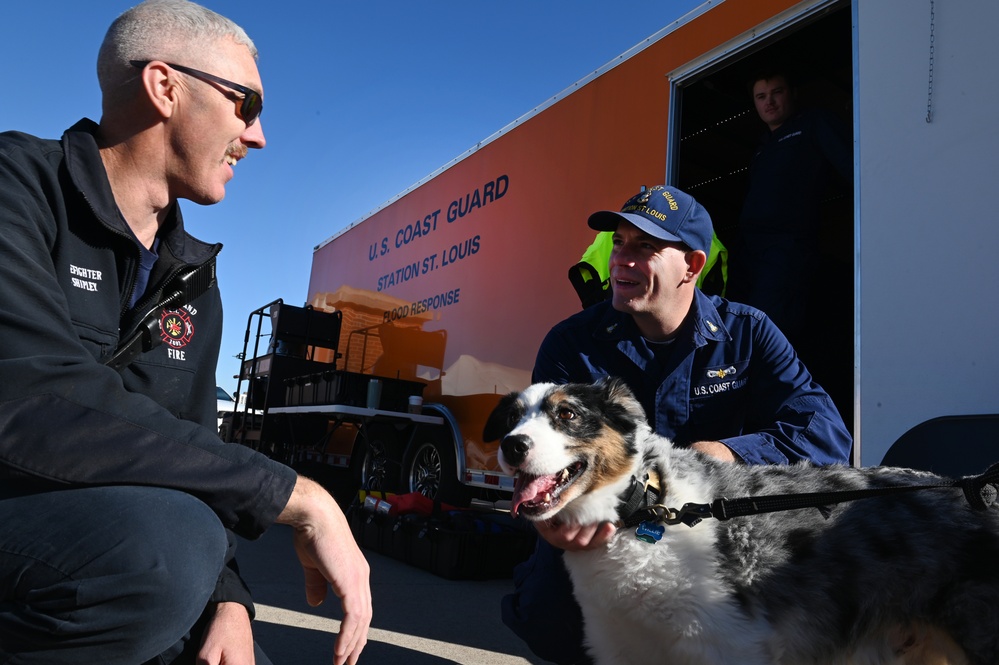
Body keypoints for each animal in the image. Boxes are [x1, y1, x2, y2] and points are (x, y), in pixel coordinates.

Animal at [484, 378, 999, 664]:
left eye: (567, 413)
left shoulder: (725, 646)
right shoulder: (624, 648)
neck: (646, 510)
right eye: (512, 418)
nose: (513, 445)